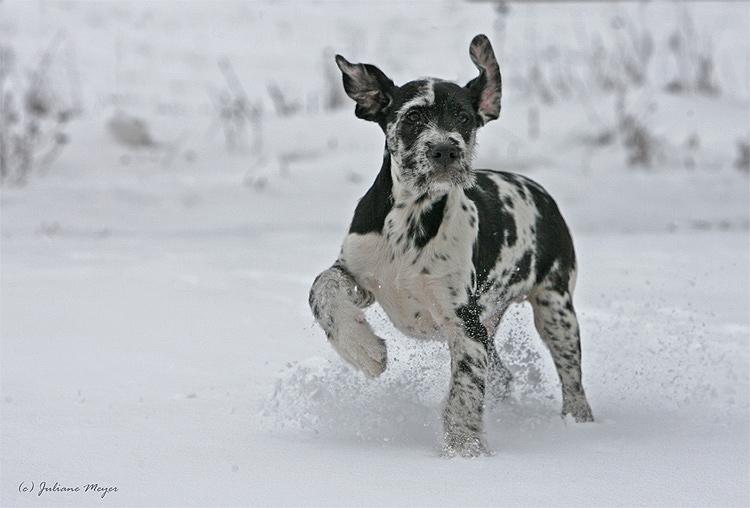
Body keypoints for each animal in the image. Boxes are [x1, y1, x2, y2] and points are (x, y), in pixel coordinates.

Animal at [308, 34, 596, 456]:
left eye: (464, 117)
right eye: (412, 117)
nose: (446, 150)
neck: (409, 223)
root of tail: (541, 193)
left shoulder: (465, 323)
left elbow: (464, 389)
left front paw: (464, 447)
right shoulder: (358, 275)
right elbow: (321, 289)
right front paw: (366, 352)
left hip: (555, 307)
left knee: (572, 378)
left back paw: (578, 425)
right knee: (504, 375)